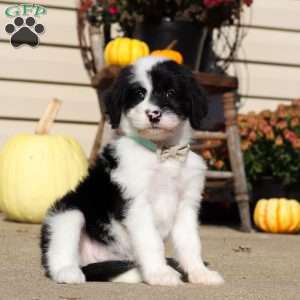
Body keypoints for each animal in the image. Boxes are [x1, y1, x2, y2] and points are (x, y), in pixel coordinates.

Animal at [39, 55, 223, 286]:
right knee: (60, 249)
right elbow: (151, 241)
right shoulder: (136, 204)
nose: (153, 114)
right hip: (68, 211)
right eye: (139, 94)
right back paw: (69, 272)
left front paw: (200, 273)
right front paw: (160, 274)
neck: (162, 154)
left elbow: (190, 243)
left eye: (171, 92)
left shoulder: (186, 205)